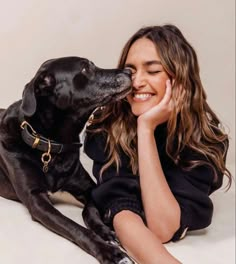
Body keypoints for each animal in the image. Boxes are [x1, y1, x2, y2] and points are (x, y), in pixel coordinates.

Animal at [0, 56, 134, 262]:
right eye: (85, 68)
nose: (129, 72)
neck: (51, 146)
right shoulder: (36, 201)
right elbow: (75, 228)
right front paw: (110, 253)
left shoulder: (89, 187)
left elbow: (90, 210)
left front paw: (106, 231)